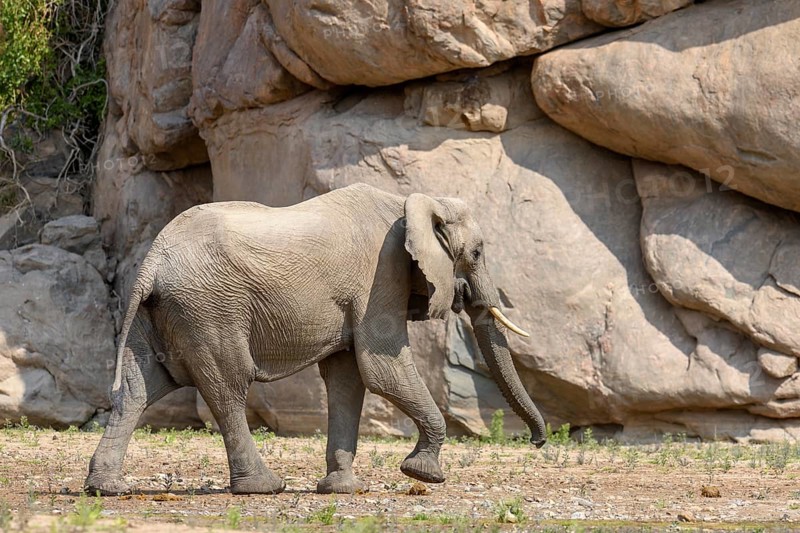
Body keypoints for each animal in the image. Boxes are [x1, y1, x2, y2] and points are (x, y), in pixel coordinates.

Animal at [85, 183, 546, 496]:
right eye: (479, 252)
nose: (537, 442)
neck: (411, 199)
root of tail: (152, 260)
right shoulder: (381, 275)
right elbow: (381, 368)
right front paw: (423, 474)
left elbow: (348, 378)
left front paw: (341, 489)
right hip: (209, 307)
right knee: (228, 387)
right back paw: (264, 487)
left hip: (160, 311)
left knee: (138, 388)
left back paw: (106, 488)